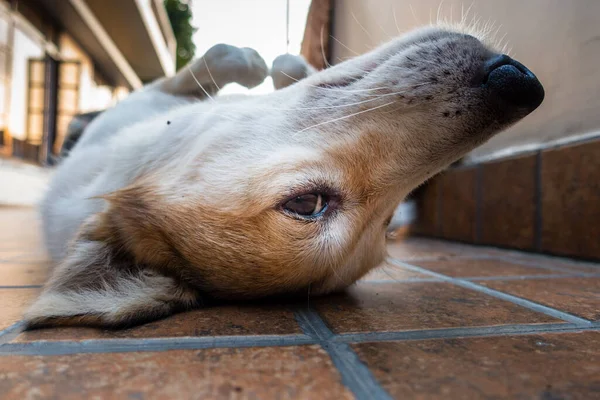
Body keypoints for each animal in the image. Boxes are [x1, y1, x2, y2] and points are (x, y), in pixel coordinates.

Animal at [24, 25, 544, 328]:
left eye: (385, 223)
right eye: (307, 204)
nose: (520, 84)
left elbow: (260, 63)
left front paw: (275, 66)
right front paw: (262, 65)